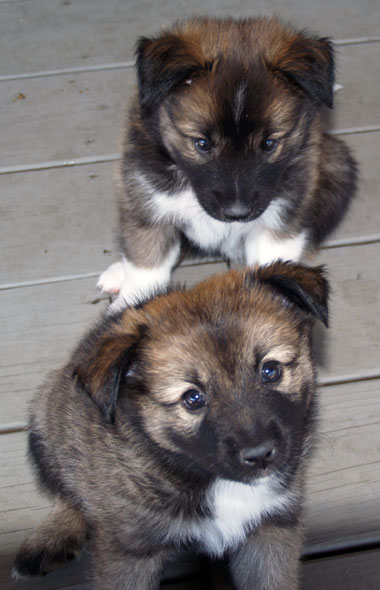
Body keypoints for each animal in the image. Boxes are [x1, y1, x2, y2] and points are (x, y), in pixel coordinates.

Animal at [13, 264, 328, 590]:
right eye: (193, 398)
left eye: (271, 370)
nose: (260, 455)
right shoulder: (128, 553)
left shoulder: (273, 528)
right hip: (46, 427)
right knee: (67, 489)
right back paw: (53, 536)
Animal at [95, 16, 356, 312]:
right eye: (202, 143)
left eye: (269, 143)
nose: (237, 213)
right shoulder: (147, 204)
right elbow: (146, 267)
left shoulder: (280, 218)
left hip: (336, 166)